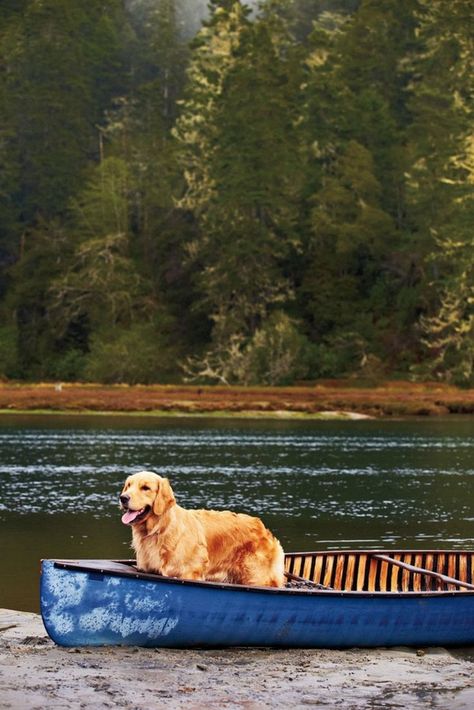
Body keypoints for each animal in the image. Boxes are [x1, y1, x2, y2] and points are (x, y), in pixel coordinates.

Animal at [120, 472, 284, 588]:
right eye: (128, 485)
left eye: (145, 488)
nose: (123, 498)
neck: (160, 529)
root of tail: (263, 527)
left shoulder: (190, 573)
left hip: (257, 577)